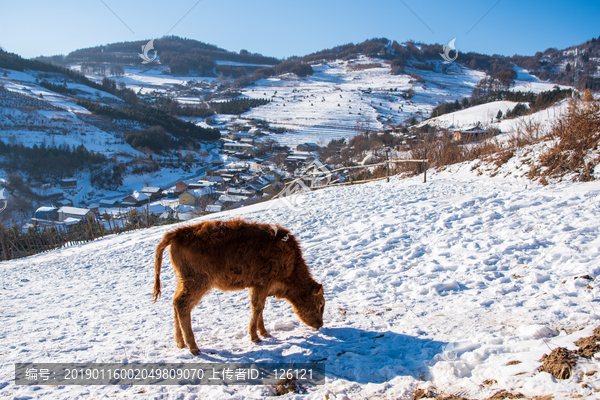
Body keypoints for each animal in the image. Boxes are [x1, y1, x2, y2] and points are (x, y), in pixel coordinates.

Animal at [152, 219, 326, 354]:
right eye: (320, 304)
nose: (320, 325)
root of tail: (177, 233)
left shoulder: (257, 287)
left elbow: (260, 309)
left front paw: (264, 333)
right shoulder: (262, 284)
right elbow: (257, 307)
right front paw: (255, 337)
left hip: (183, 282)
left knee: (176, 303)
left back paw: (180, 343)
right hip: (197, 283)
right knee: (182, 305)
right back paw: (194, 348)